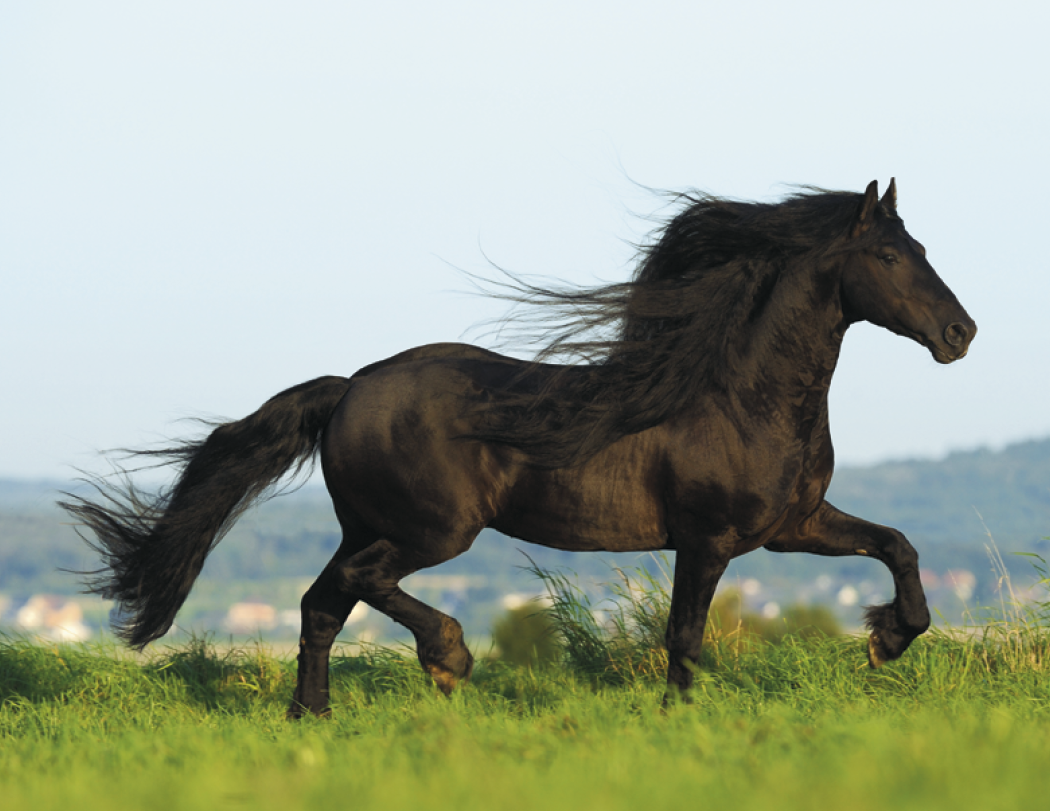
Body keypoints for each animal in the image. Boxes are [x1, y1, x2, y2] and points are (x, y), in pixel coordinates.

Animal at [62, 179, 976, 716]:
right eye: (888, 254)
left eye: (924, 249)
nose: (960, 334)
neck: (737, 396)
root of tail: (350, 387)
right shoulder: (708, 538)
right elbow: (684, 635)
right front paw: (682, 720)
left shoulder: (791, 524)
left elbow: (898, 545)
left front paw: (887, 638)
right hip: (433, 530)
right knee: (358, 588)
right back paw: (447, 658)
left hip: (373, 526)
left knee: (324, 601)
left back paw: (313, 715)